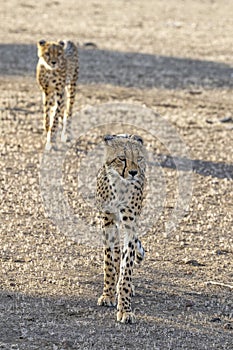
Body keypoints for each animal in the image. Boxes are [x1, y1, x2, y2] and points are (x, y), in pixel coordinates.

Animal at [95, 133, 147, 322]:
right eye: (122, 158)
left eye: (138, 159)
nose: (133, 172)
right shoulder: (107, 221)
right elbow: (109, 262)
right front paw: (108, 294)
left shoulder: (130, 224)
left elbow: (127, 266)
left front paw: (125, 309)